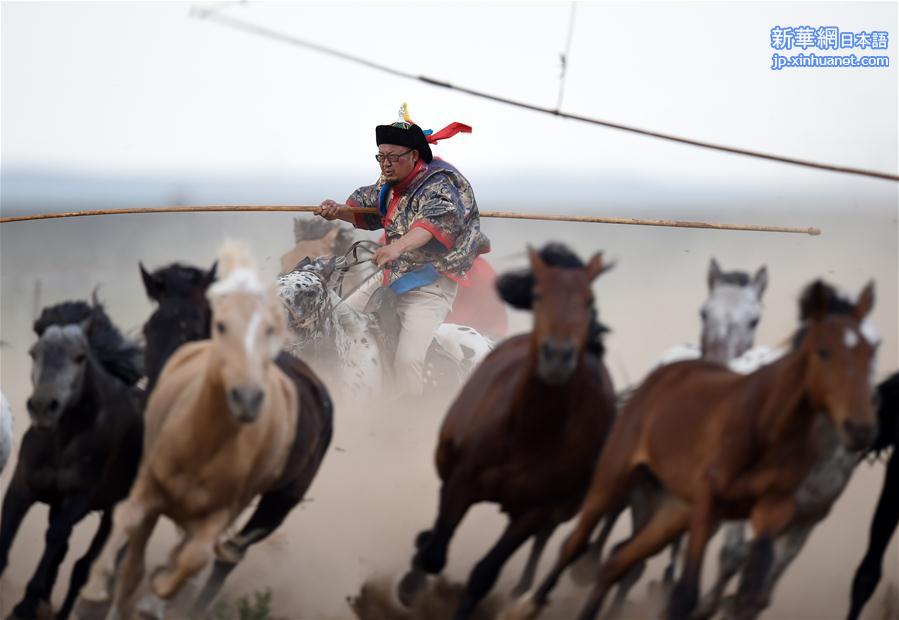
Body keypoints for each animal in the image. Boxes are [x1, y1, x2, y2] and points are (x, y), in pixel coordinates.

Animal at [0, 298, 143, 616]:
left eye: (80, 356)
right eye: (34, 353)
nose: (43, 406)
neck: (62, 441)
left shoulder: (78, 497)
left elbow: (56, 537)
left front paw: (26, 605)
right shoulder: (22, 484)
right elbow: (9, 524)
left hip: (112, 511)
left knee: (82, 567)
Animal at [400, 243, 620, 620]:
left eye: (590, 300)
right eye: (538, 295)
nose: (557, 355)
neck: (527, 432)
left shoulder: (533, 512)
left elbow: (483, 575)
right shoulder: (461, 482)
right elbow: (435, 553)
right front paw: (410, 583)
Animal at [512, 280, 880, 620]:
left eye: (875, 348)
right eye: (823, 350)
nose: (861, 426)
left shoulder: (802, 516)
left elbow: (757, 589)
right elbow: (722, 565)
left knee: (625, 554)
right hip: (631, 484)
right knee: (596, 540)